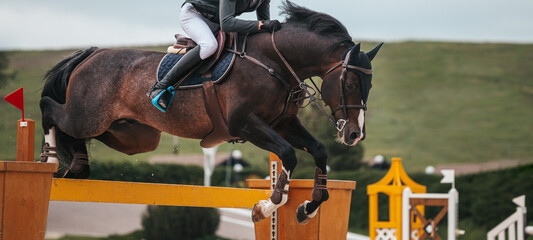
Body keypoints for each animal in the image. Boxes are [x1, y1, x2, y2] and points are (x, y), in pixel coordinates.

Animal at [40, 1, 382, 224]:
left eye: (369, 84)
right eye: (351, 83)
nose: (354, 134)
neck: (275, 63)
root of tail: (91, 54)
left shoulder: (283, 123)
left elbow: (319, 150)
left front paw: (308, 208)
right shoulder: (245, 125)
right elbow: (288, 155)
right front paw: (265, 207)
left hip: (131, 135)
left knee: (80, 133)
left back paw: (78, 167)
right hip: (87, 116)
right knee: (50, 109)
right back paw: (51, 158)